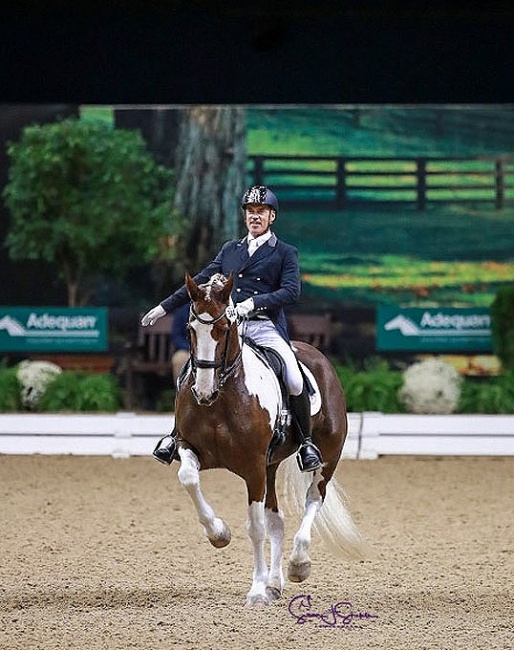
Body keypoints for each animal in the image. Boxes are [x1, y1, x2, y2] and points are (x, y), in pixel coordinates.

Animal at [174, 270, 366, 604]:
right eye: (190, 330)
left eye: (224, 328)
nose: (203, 392)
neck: (221, 398)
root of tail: (314, 352)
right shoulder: (191, 448)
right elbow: (188, 478)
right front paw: (219, 534)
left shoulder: (253, 468)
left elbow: (255, 527)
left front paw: (256, 591)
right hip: (271, 466)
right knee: (277, 520)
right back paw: (275, 583)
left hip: (326, 458)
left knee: (313, 499)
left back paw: (298, 565)